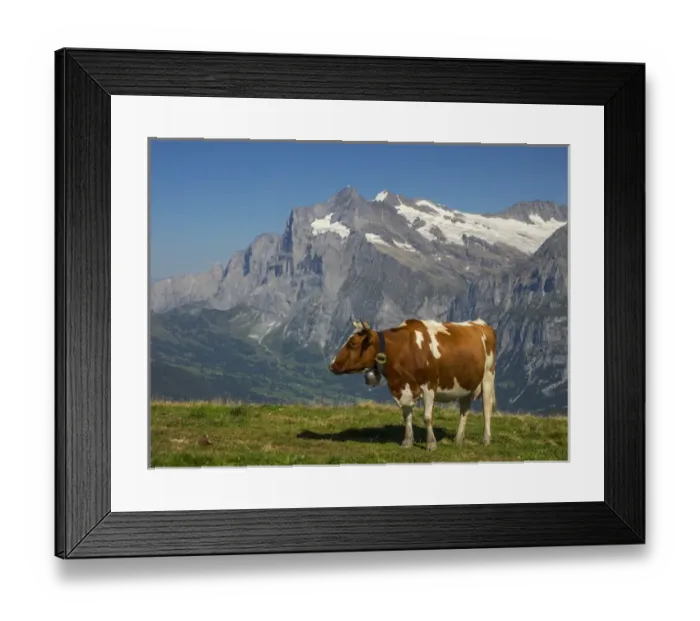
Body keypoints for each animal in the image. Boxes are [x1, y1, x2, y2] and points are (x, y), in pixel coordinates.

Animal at [328, 318, 497, 451]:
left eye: (352, 343)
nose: (332, 365)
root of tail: (481, 324)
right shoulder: (404, 388)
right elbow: (407, 415)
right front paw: (407, 441)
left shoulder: (429, 386)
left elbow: (427, 417)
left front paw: (431, 444)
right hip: (465, 383)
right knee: (464, 409)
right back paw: (458, 438)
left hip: (488, 377)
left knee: (486, 408)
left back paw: (486, 440)